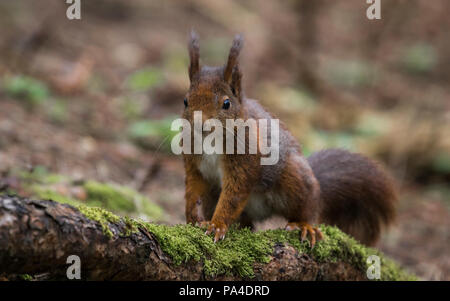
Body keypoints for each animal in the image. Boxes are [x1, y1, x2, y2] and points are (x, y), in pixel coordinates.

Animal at [181, 31, 396, 245]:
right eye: (185, 101)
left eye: (226, 103)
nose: (199, 124)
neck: (210, 140)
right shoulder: (194, 163)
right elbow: (193, 189)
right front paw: (194, 218)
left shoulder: (245, 160)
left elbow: (234, 194)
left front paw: (217, 225)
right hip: (215, 196)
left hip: (293, 178)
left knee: (308, 206)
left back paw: (305, 225)